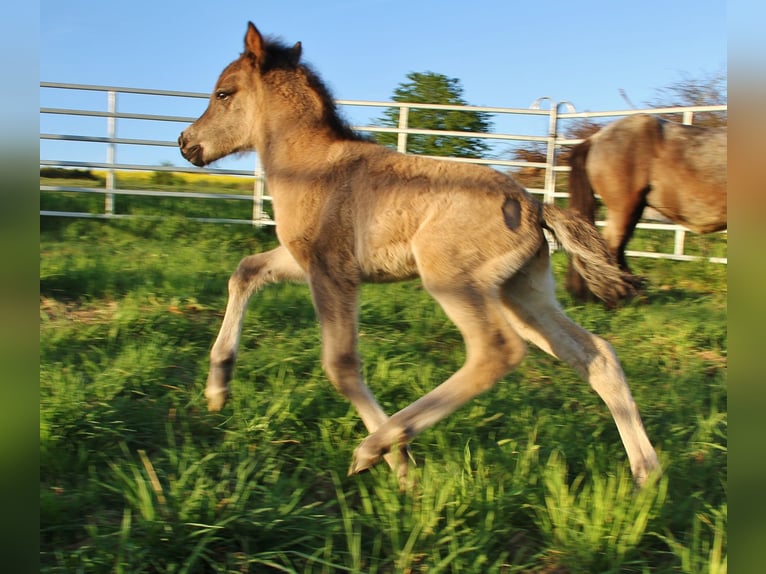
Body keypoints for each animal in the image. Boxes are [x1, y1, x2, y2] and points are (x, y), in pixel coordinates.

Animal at [178, 22, 659, 487]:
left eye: (223, 93)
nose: (186, 143)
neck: (313, 165)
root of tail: (533, 205)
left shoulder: (333, 270)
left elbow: (341, 364)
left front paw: (400, 463)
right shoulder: (301, 261)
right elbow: (245, 271)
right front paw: (218, 387)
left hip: (454, 280)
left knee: (497, 351)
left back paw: (379, 445)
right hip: (522, 293)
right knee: (596, 356)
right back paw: (646, 476)